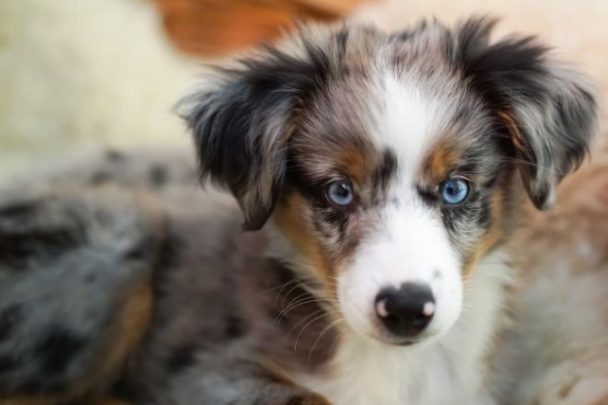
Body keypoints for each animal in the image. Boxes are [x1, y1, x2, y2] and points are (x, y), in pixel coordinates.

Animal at [0, 15, 600, 404]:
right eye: (338, 191)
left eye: (455, 189)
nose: (407, 308)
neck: (400, 369)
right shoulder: (206, 374)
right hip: (122, 233)